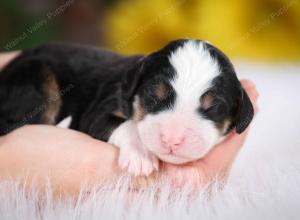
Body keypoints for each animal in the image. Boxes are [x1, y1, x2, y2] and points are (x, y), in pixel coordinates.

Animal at [0, 39, 253, 176]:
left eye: (213, 108)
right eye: (153, 96)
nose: (172, 140)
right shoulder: (98, 110)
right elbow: (127, 125)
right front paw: (141, 156)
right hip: (37, 80)